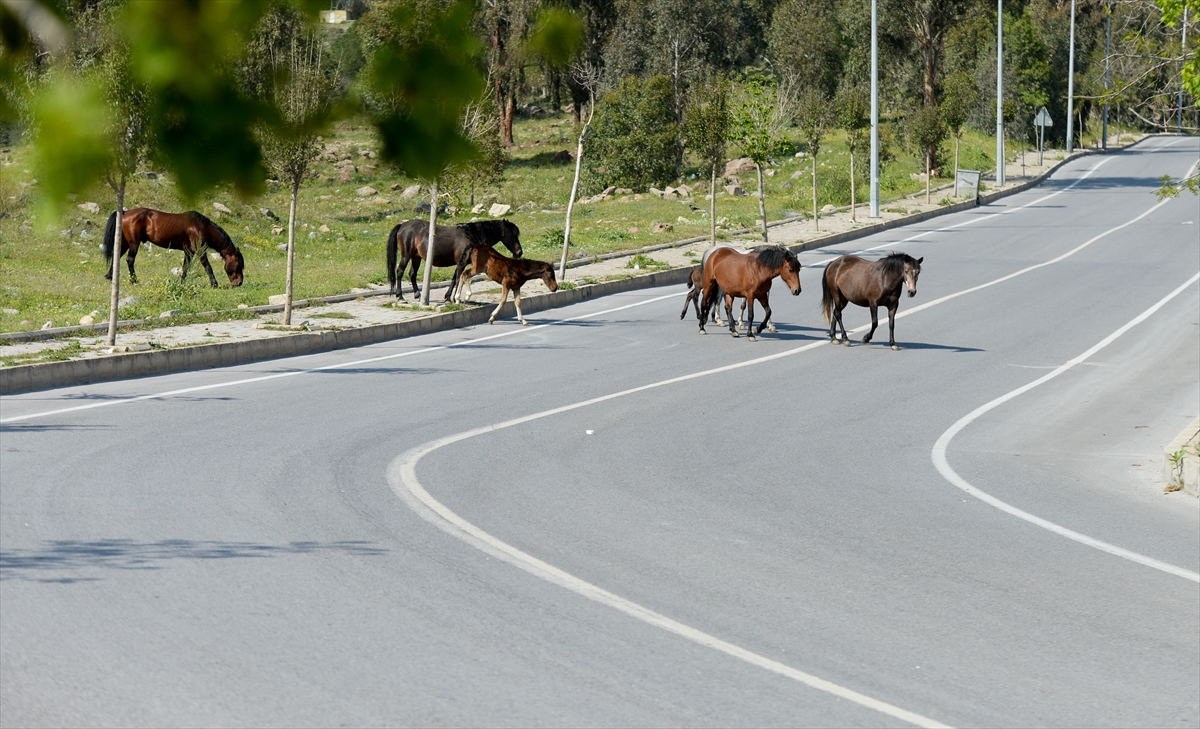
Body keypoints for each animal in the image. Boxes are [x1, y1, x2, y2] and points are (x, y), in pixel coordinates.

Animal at [103, 207, 243, 287]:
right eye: (239, 265)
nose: (239, 283)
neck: (202, 226)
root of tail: (125, 212)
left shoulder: (189, 252)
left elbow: (185, 267)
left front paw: (182, 283)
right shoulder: (200, 251)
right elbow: (208, 267)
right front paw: (214, 284)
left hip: (125, 243)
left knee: (117, 256)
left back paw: (110, 276)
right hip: (133, 243)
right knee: (130, 260)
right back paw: (134, 281)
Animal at [386, 218, 523, 300]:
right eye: (512, 234)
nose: (519, 252)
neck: (471, 235)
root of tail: (403, 225)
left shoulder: (460, 263)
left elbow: (454, 279)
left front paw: (448, 297)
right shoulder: (461, 263)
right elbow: (458, 279)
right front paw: (455, 298)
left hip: (416, 257)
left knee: (412, 274)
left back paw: (417, 294)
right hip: (406, 255)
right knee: (400, 271)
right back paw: (400, 295)